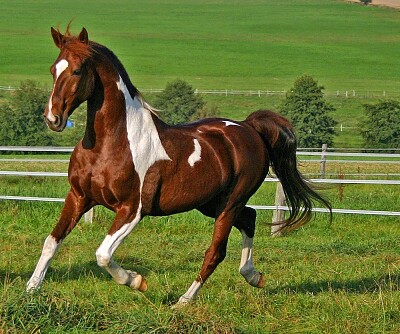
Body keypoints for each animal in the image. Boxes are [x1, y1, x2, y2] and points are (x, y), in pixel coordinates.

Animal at [27, 27, 332, 306]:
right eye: (53, 69)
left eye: (78, 71)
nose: (52, 118)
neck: (111, 142)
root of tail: (249, 128)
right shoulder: (79, 196)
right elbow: (51, 242)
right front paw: (31, 290)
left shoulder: (132, 210)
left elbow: (103, 255)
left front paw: (137, 281)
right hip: (210, 203)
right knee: (250, 217)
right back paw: (254, 276)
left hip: (229, 204)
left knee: (216, 252)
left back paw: (183, 302)